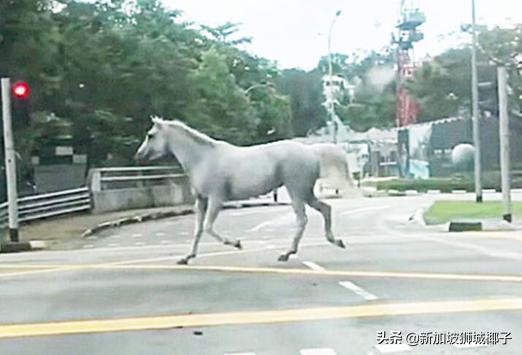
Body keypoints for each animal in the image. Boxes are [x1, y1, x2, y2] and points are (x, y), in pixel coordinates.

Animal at [135, 118, 346, 266]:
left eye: (150, 135)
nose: (138, 156)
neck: (203, 159)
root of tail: (312, 151)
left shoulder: (216, 198)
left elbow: (208, 227)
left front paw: (236, 243)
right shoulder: (201, 201)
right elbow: (198, 230)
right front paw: (186, 257)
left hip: (296, 191)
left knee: (302, 219)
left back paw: (286, 254)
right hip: (306, 193)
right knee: (326, 209)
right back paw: (336, 241)